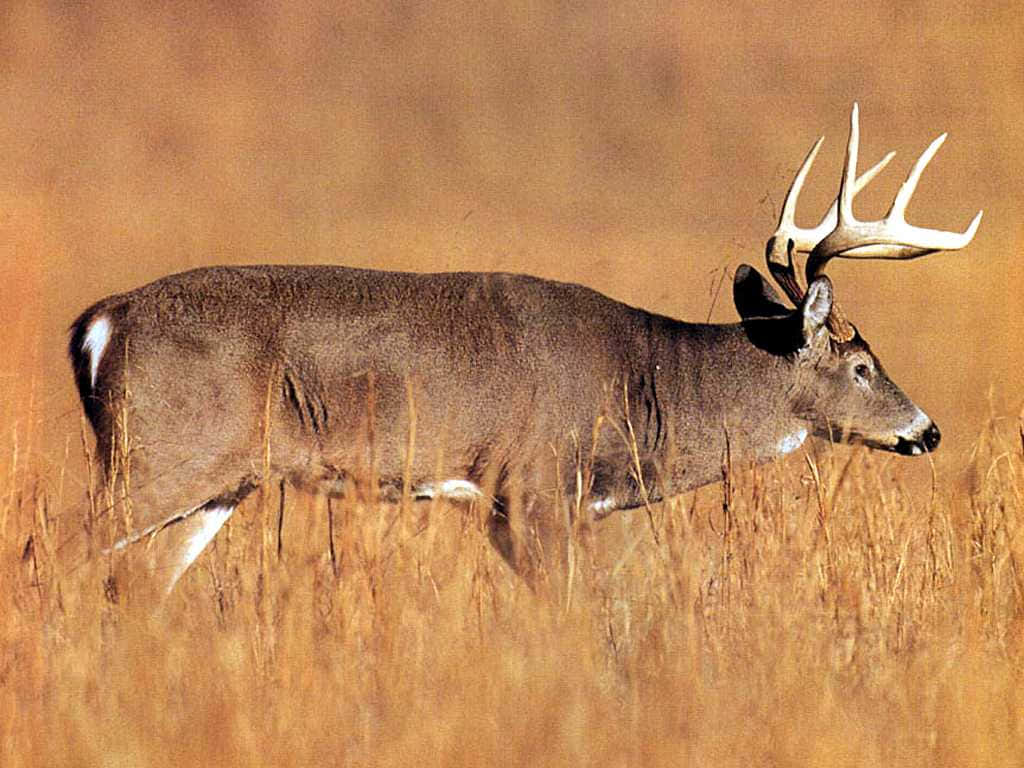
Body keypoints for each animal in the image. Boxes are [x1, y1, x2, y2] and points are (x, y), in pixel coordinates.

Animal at [68, 103, 978, 593]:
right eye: (863, 366)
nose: (927, 430)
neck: (648, 386)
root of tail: (100, 320)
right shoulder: (536, 485)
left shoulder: (516, 505)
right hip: (156, 457)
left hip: (216, 481)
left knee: (135, 585)